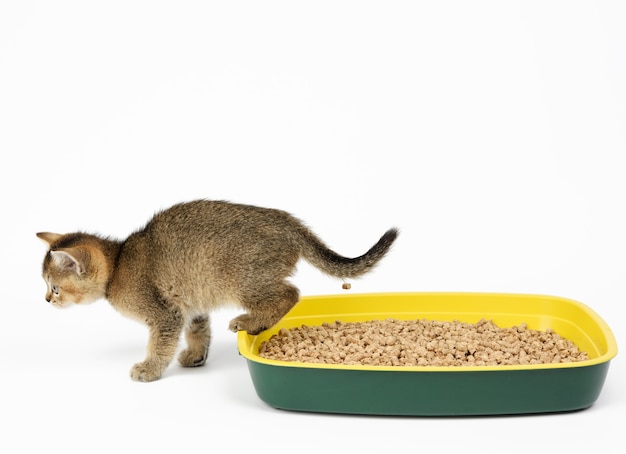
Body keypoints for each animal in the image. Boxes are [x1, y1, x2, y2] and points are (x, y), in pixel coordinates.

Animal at [36, 200, 398, 382]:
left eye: (55, 287)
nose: (46, 299)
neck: (119, 263)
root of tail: (289, 223)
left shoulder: (164, 315)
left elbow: (159, 345)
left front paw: (149, 369)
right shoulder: (190, 304)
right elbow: (198, 331)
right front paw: (196, 357)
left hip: (243, 279)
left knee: (290, 295)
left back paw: (251, 321)